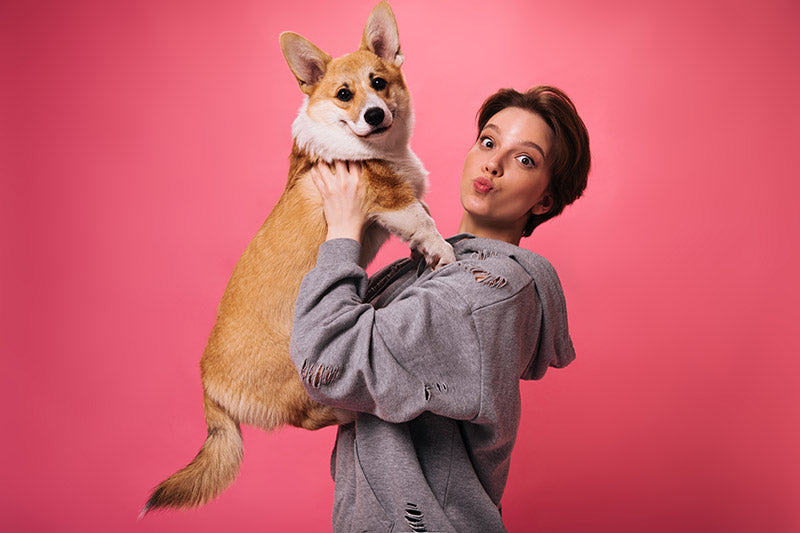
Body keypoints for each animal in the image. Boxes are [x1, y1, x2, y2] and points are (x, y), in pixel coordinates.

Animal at [143, 1, 454, 516]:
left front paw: (425, 254)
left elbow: (422, 222)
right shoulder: (392, 201)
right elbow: (425, 222)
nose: (374, 114)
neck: (380, 149)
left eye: (379, 82)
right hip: (300, 368)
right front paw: (444, 251)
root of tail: (208, 387)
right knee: (310, 413)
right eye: (344, 94)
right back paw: (351, 412)